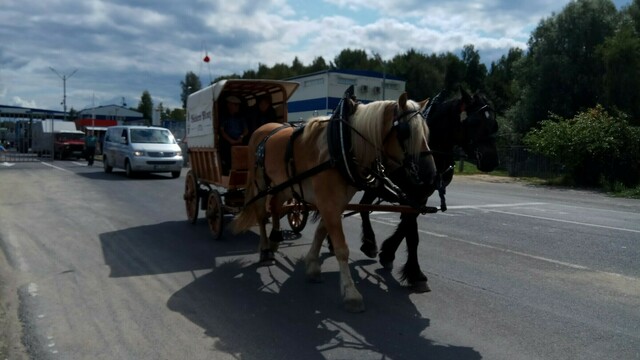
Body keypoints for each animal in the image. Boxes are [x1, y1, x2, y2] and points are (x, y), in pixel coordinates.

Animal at [232, 90, 438, 312]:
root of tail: (262, 129)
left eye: (427, 132)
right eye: (405, 132)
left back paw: (275, 239)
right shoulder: (328, 203)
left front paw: (313, 265)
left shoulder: (335, 202)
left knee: (276, 206)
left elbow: (321, 231)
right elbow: (341, 248)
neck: (343, 145)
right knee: (262, 215)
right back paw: (265, 250)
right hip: (260, 182)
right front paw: (351, 293)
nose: (431, 175)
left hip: (284, 185)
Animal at [358, 87, 498, 292]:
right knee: (360, 207)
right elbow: (412, 235)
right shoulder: (411, 194)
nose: (491, 160)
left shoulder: (420, 197)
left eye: (494, 124)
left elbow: (405, 228)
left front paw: (388, 253)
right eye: (474, 122)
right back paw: (367, 243)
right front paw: (416, 273)